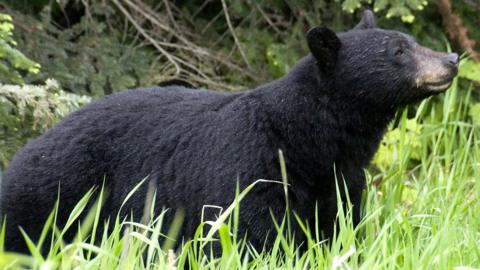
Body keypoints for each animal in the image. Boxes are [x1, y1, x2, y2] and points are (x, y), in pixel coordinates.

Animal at [0, 10, 460, 251]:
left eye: (411, 40)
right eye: (398, 51)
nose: (452, 59)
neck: (306, 140)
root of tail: (30, 147)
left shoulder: (338, 180)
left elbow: (337, 224)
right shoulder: (249, 165)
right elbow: (249, 231)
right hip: (59, 189)